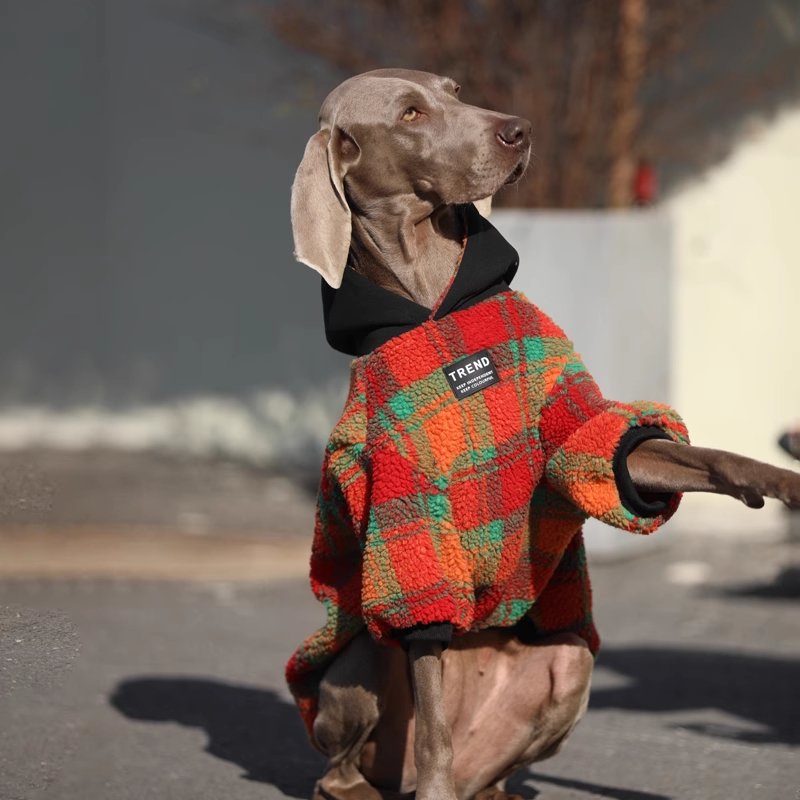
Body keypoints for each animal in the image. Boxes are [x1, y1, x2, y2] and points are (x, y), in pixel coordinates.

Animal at [284, 70, 800, 800]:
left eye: (454, 89)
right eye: (410, 113)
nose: (518, 130)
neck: (437, 303)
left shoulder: (577, 430)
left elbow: (684, 453)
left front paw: (783, 480)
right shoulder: (405, 508)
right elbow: (429, 685)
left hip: (570, 665)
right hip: (356, 664)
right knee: (351, 761)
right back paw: (388, 786)